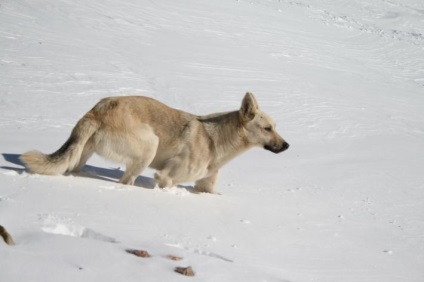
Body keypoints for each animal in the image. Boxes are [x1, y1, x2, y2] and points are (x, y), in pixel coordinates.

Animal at [21, 92, 290, 194]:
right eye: (267, 128)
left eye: (275, 127)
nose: (287, 146)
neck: (216, 140)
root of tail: (97, 110)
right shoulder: (167, 177)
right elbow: (165, 182)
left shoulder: (205, 186)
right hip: (150, 145)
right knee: (126, 182)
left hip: (81, 155)